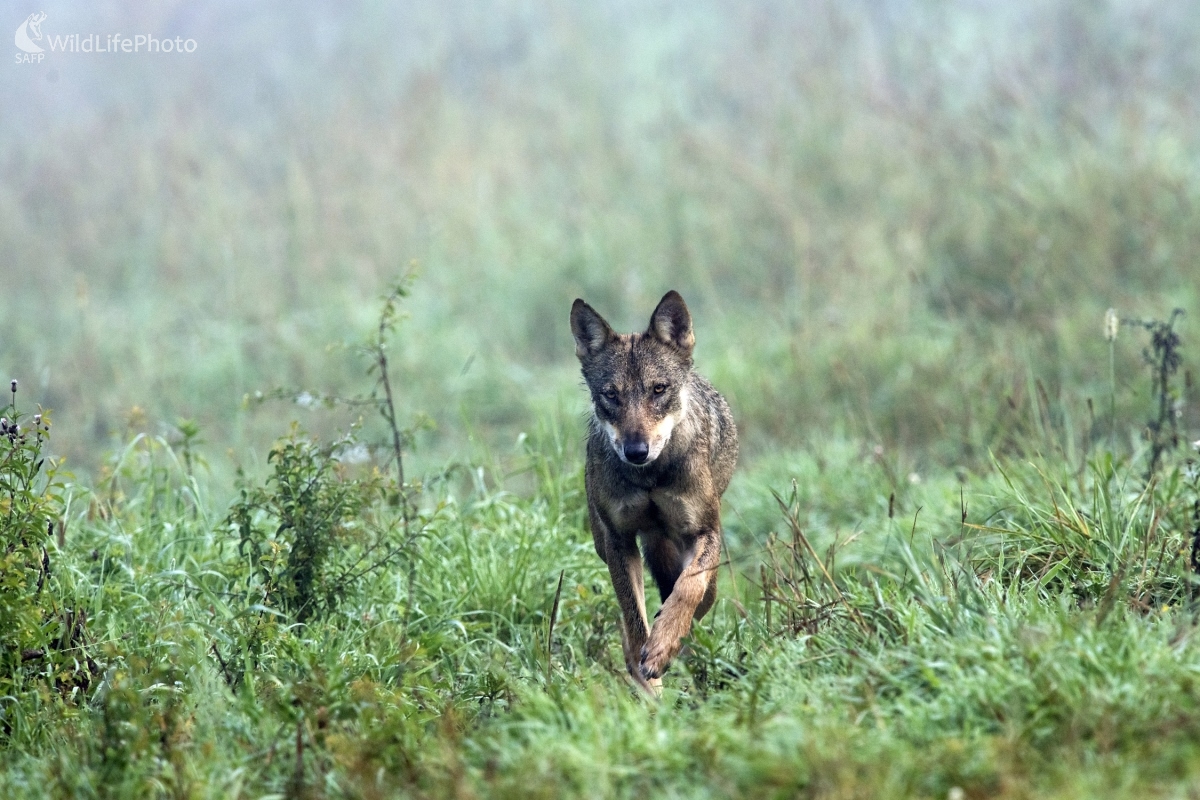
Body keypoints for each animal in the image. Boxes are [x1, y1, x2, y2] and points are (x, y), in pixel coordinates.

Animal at [573, 291, 739, 690]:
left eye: (658, 389)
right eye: (611, 395)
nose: (636, 451)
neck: (650, 478)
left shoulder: (704, 532)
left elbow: (687, 589)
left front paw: (665, 645)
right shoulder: (619, 542)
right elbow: (635, 622)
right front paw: (648, 677)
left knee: (696, 598)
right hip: (606, 546)